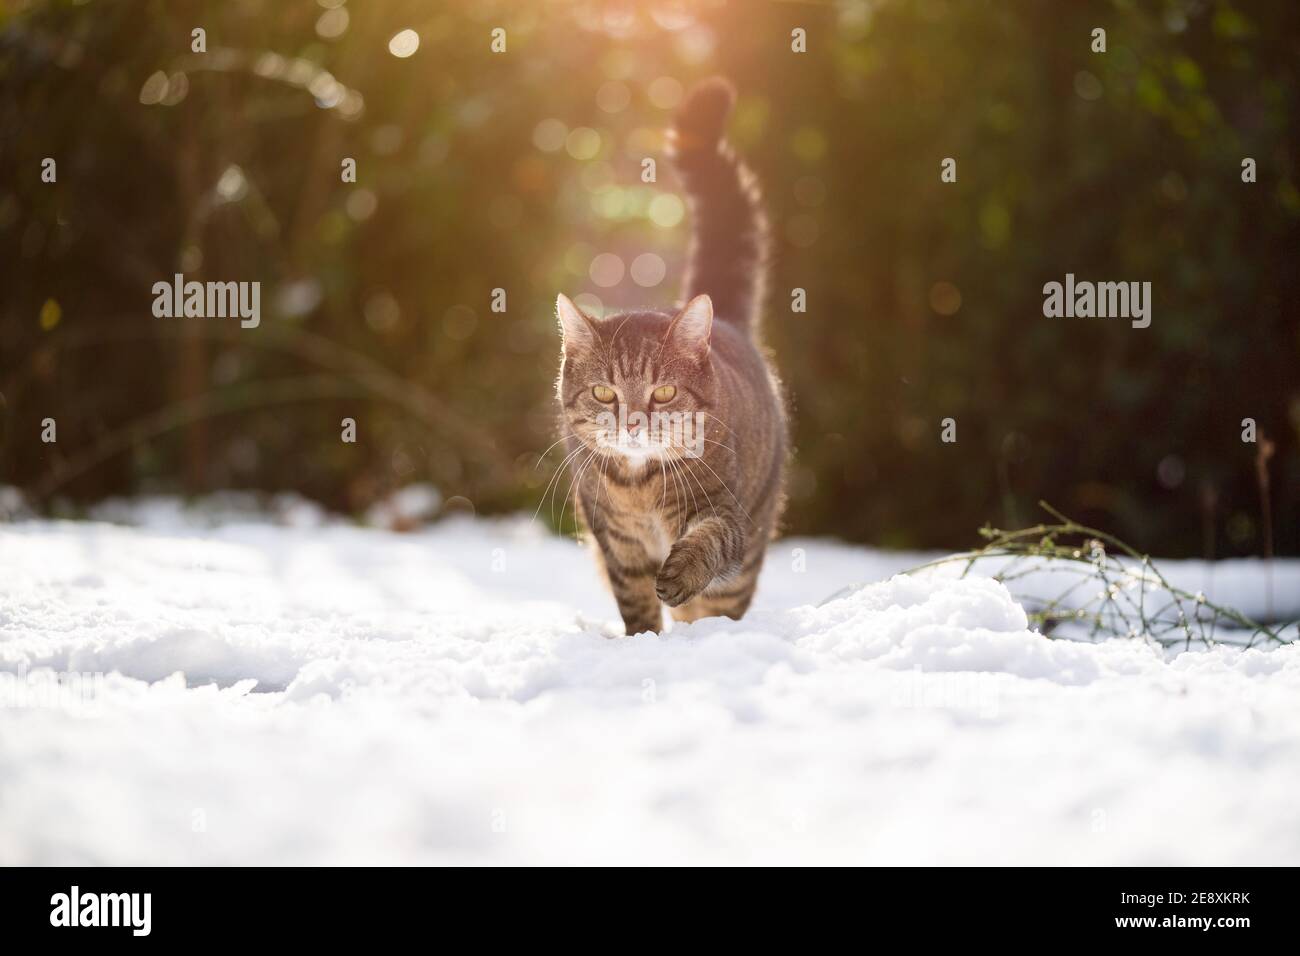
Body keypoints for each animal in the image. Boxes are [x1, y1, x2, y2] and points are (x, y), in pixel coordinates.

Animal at [553, 80, 785, 634]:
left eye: (663, 392)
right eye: (603, 392)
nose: (634, 423)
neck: (638, 484)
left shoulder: (727, 513)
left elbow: (710, 538)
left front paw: (683, 571)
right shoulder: (616, 545)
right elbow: (636, 604)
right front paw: (643, 642)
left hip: (752, 541)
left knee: (719, 605)